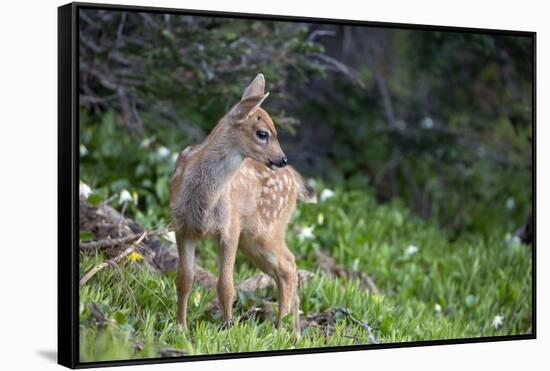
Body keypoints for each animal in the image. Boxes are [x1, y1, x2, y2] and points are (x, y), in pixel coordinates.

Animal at [169, 73, 314, 338]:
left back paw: (282, 329)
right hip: (253, 239)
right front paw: (180, 328)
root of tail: (294, 178)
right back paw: (294, 332)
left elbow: (226, 285)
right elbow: (184, 280)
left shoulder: (230, 227)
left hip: (266, 229)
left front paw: (227, 329)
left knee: (288, 266)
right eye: (263, 133)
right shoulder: (182, 227)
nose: (282, 159)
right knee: (286, 267)